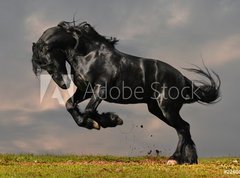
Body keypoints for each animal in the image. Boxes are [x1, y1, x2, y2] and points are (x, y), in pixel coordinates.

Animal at [31, 20, 221, 164]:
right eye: (43, 65)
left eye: (47, 62)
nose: (63, 85)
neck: (89, 55)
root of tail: (182, 78)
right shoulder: (85, 90)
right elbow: (71, 106)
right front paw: (98, 122)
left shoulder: (101, 89)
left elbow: (89, 110)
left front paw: (108, 120)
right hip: (157, 109)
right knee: (184, 128)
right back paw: (189, 160)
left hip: (167, 109)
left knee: (183, 128)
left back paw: (175, 159)